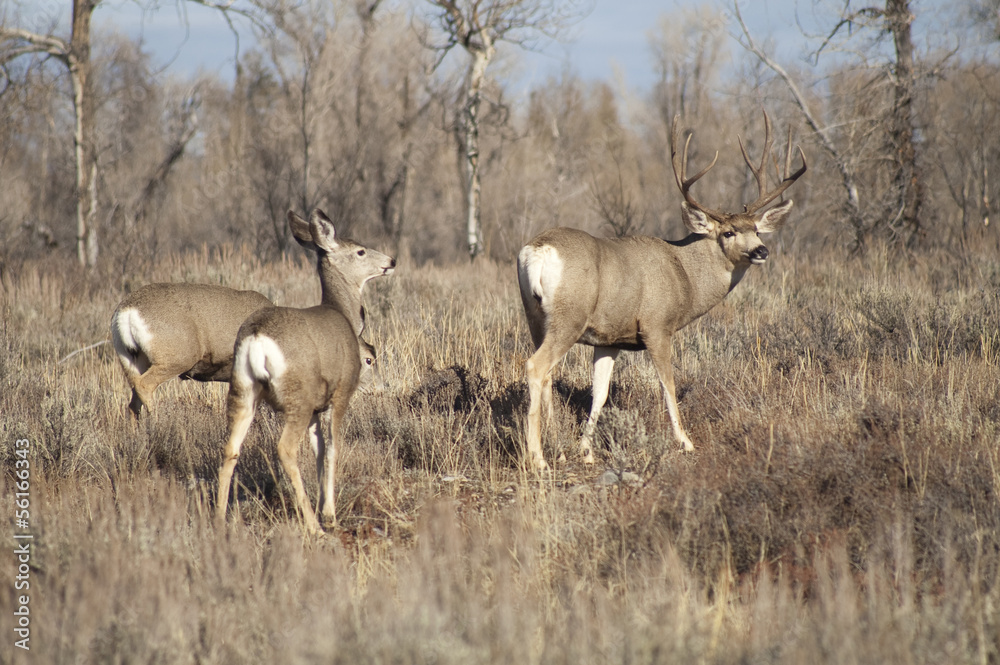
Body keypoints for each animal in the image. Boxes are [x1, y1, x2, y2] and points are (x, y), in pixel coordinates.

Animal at [111, 286, 380, 417]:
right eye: (369, 360)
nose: (379, 388)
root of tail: (125, 311)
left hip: (131, 358)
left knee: (132, 401)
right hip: (175, 357)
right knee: (145, 387)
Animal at [216, 208, 396, 534]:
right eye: (360, 251)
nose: (391, 260)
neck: (343, 315)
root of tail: (257, 337)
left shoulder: (316, 408)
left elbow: (319, 450)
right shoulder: (341, 392)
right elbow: (334, 447)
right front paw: (330, 514)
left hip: (242, 388)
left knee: (230, 448)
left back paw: (218, 519)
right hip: (296, 394)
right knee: (285, 449)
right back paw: (314, 526)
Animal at [517, 111, 806, 470]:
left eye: (755, 229)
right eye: (727, 232)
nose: (761, 251)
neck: (684, 274)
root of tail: (537, 251)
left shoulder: (610, 338)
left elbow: (600, 393)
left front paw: (586, 452)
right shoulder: (657, 325)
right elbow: (668, 384)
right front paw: (686, 442)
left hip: (535, 317)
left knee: (547, 375)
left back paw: (554, 445)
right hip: (569, 317)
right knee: (535, 367)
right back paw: (538, 458)